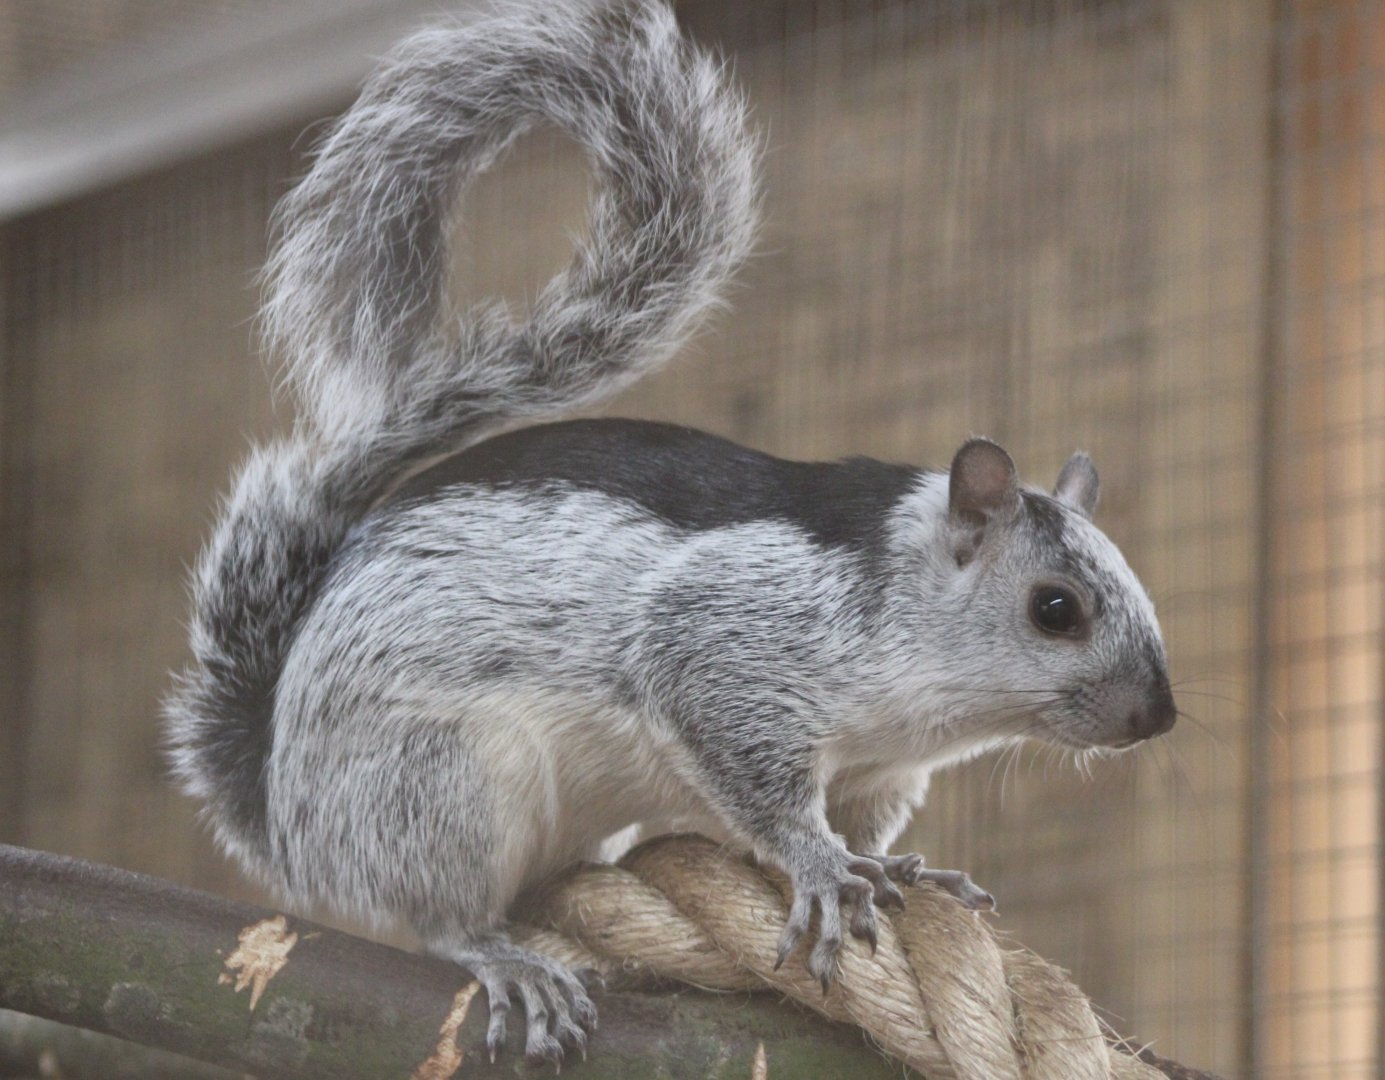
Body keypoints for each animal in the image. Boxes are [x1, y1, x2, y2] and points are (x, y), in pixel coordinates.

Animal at [165, 0, 1177, 1066]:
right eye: (1054, 609)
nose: (1156, 716)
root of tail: (284, 821)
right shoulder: (727, 643)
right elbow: (749, 772)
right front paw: (820, 866)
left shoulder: (876, 769)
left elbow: (863, 824)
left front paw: (906, 868)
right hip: (434, 790)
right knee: (431, 912)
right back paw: (504, 957)